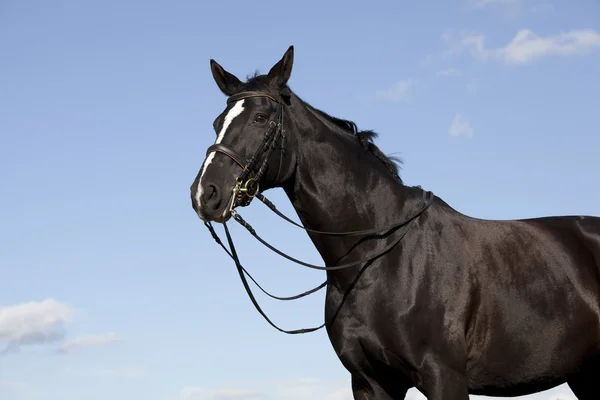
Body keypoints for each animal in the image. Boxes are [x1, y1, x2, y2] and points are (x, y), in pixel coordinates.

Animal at [190, 45, 600, 398]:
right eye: (216, 123)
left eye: (260, 118)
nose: (205, 193)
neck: (381, 257)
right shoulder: (371, 381)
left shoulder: (444, 377)